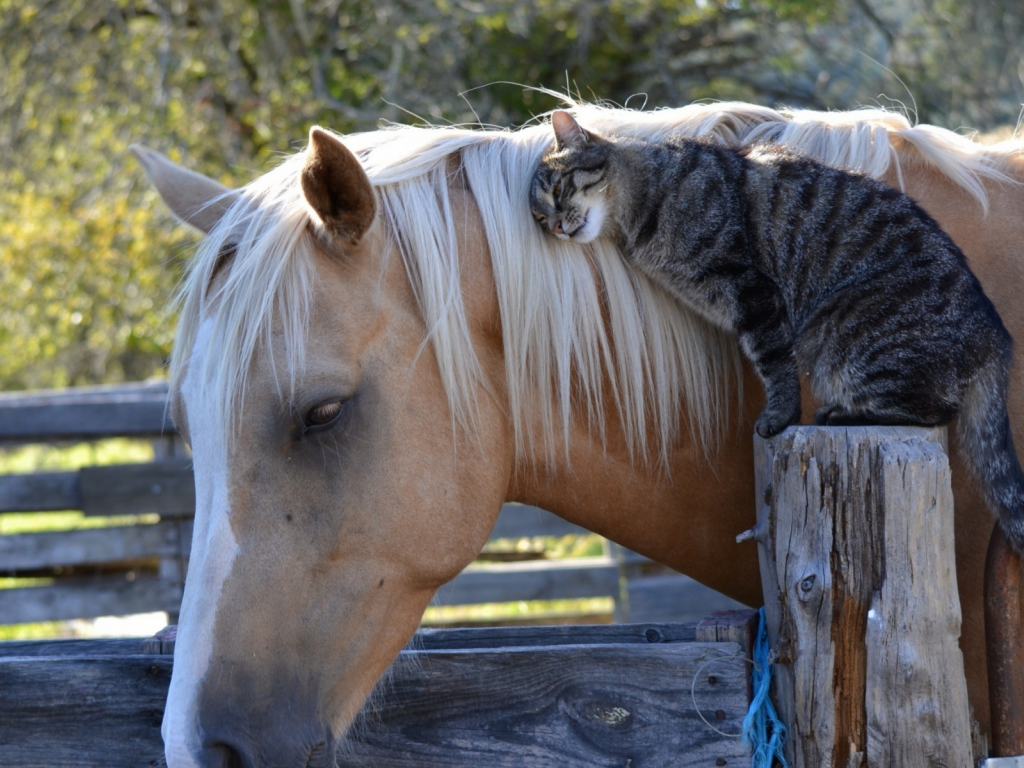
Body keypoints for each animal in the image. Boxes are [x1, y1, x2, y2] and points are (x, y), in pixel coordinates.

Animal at [532, 109, 1024, 552]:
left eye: (559, 189)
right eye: (539, 219)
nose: (555, 226)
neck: (646, 203)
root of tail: (995, 337)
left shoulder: (753, 292)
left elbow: (774, 364)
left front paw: (779, 415)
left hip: (844, 332)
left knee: (933, 410)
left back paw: (838, 413)